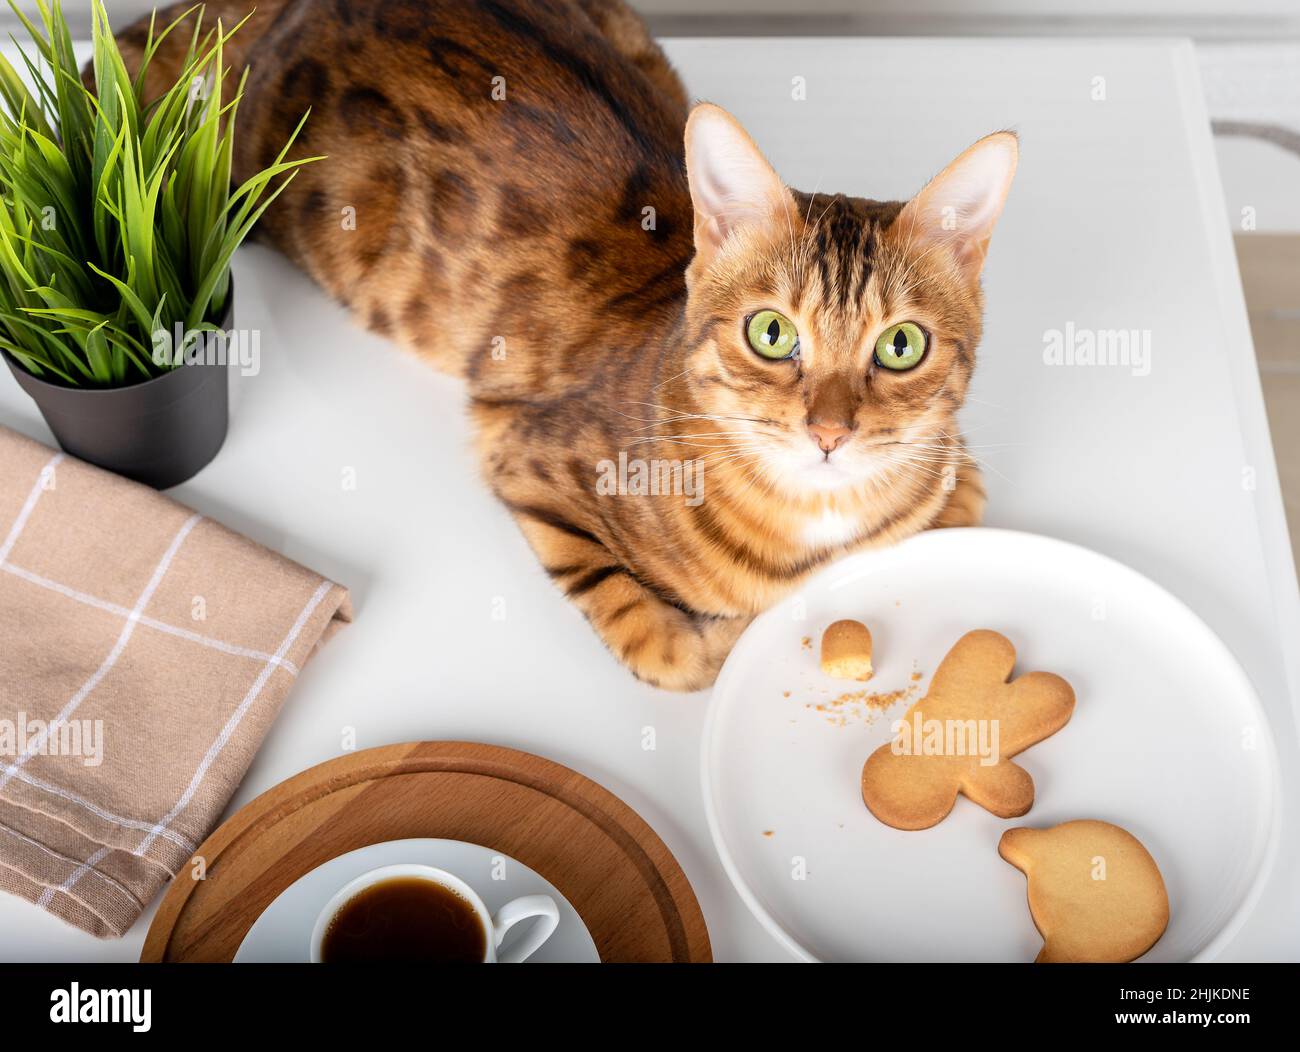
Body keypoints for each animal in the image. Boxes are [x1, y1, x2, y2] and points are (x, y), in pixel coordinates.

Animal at [111, 0, 1013, 691]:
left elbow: (958, 497)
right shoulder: (520, 450)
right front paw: (706, 636)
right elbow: (652, 629)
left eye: (901, 346)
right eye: (771, 333)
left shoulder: (955, 475)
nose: (829, 432)